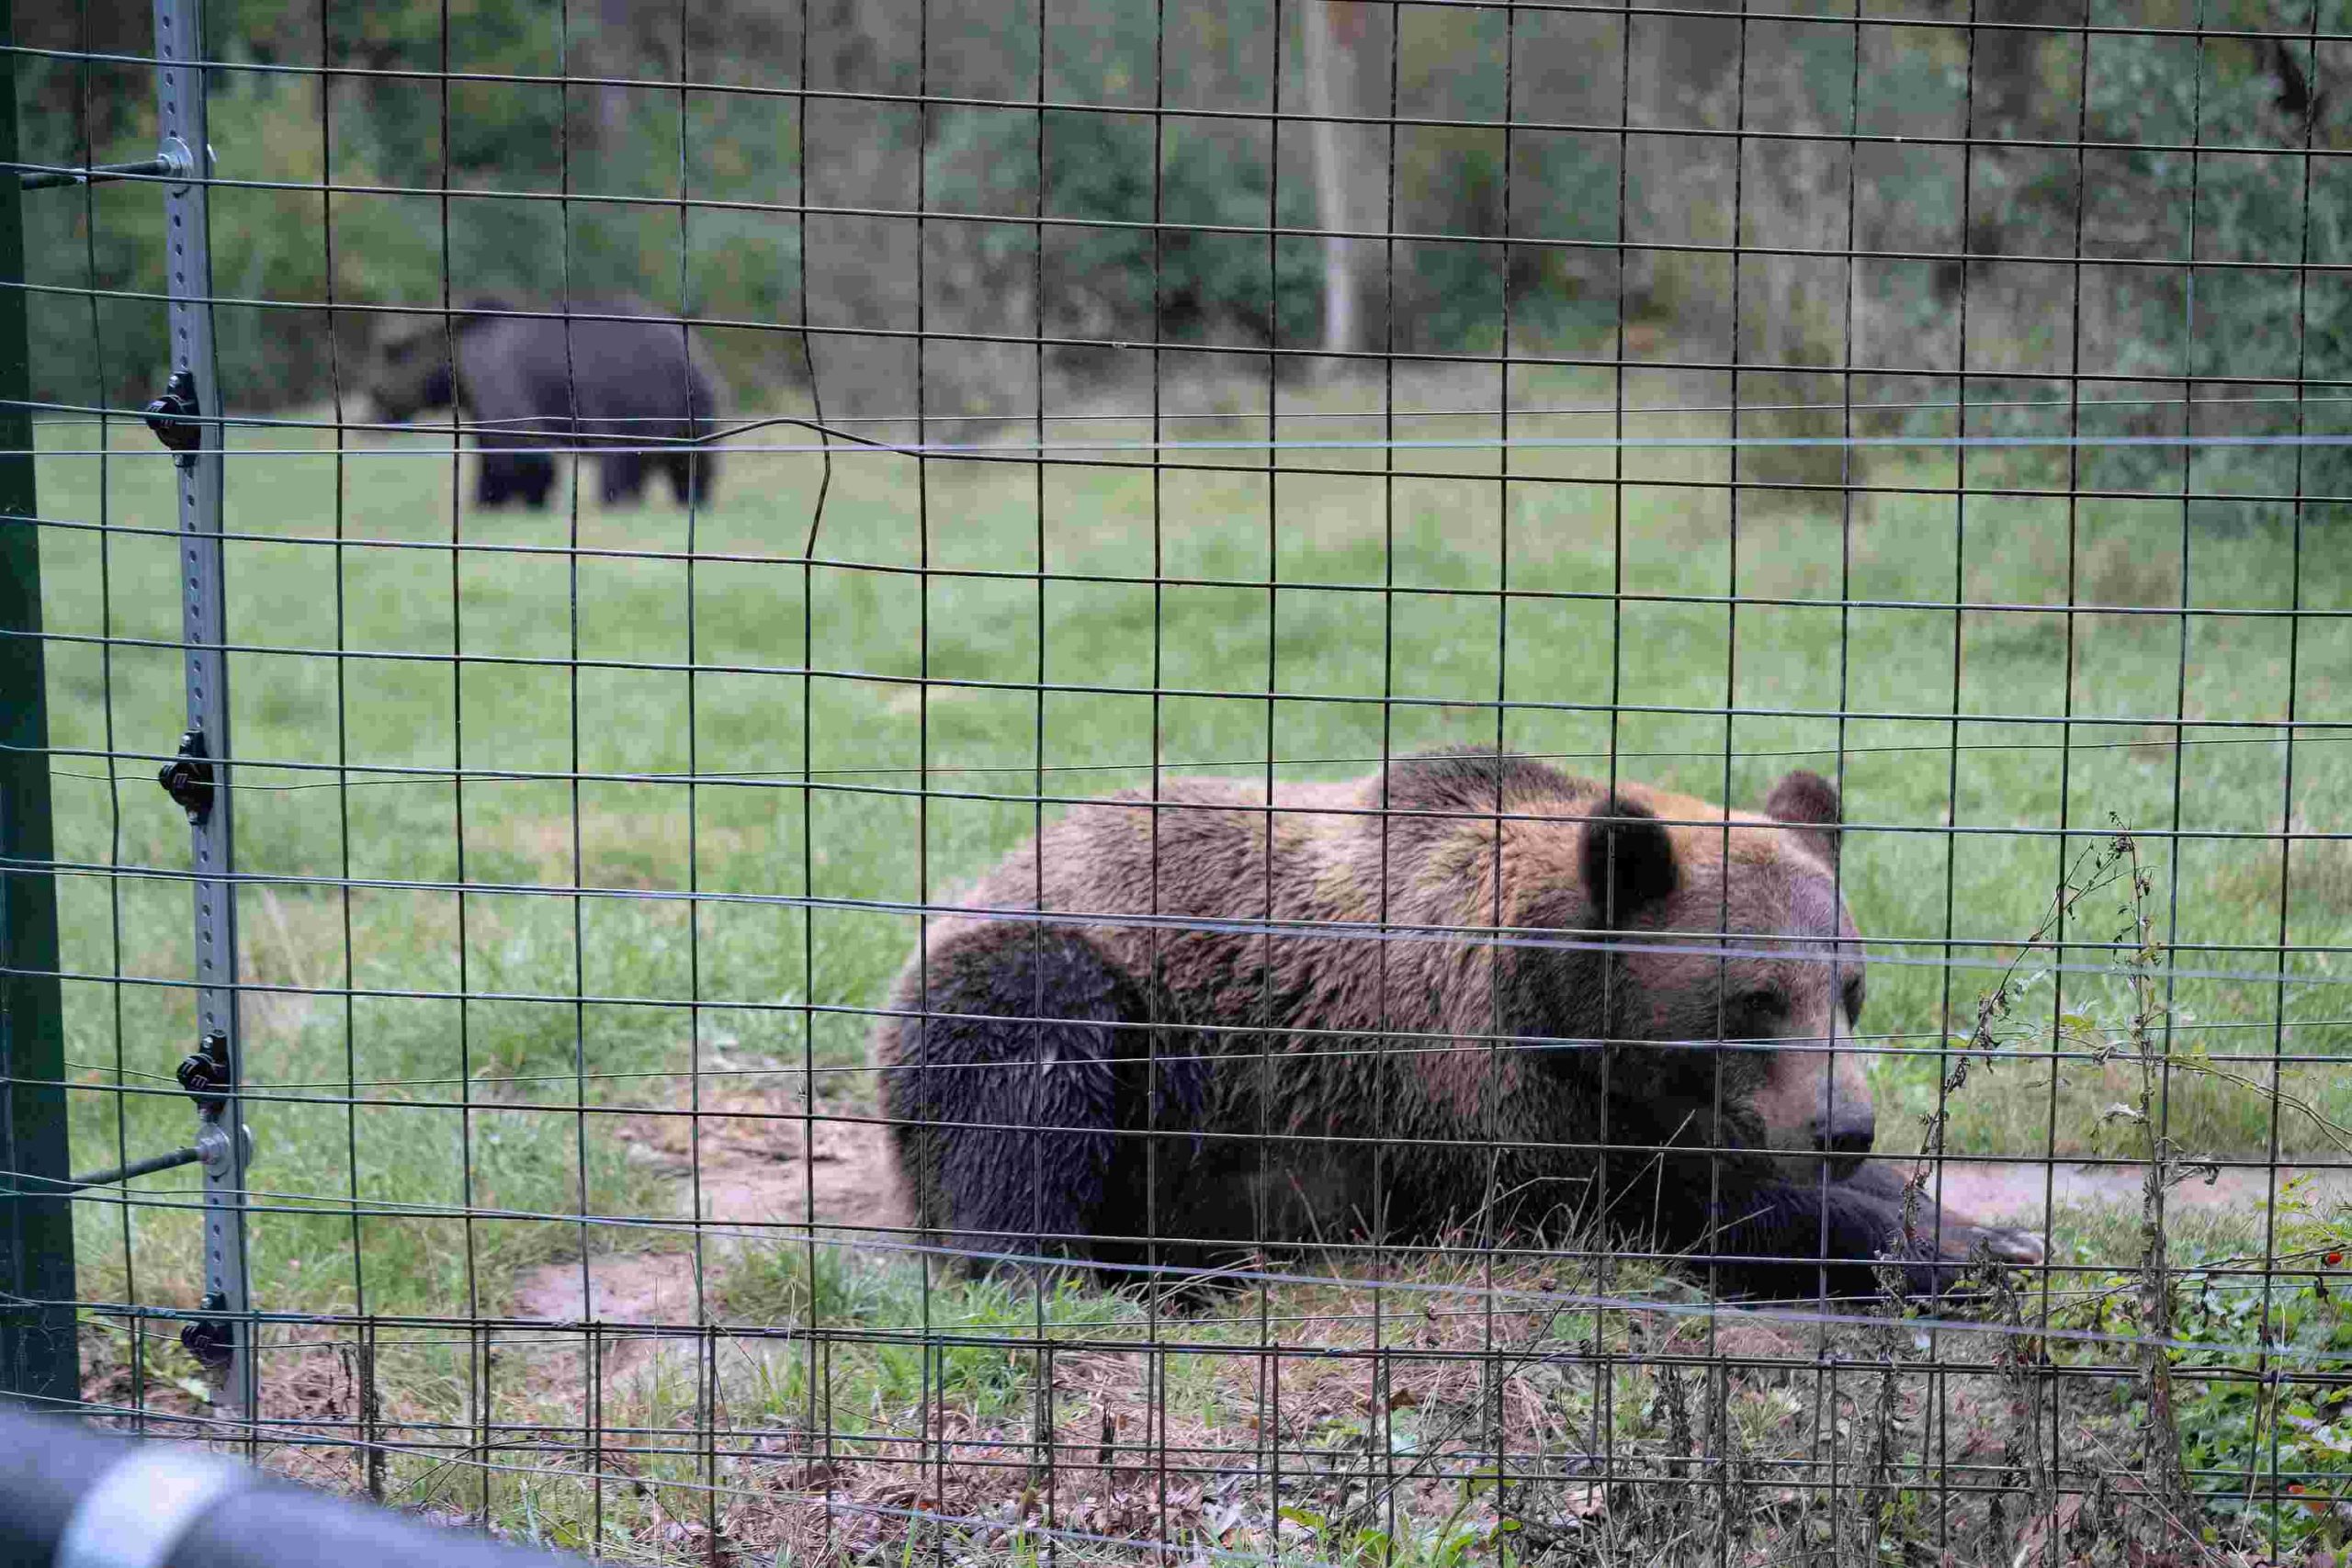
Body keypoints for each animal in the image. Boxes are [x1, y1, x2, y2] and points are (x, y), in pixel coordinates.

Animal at [359, 296, 715, 510]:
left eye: (374, 391)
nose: (366, 423)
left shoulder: (498, 380)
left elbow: (515, 451)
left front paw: (501, 499)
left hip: (625, 398)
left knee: (618, 460)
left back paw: (614, 501)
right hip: (695, 410)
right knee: (692, 467)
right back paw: (691, 499)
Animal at [875, 747, 2051, 1297]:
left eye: (1848, 989)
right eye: (1754, 1000)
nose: (1842, 1126)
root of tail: (983, 875)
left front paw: (1978, 1226)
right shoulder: (1475, 1090)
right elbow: (1682, 1210)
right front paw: (1959, 1250)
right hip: (1091, 999)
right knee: (1027, 1088)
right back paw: (1074, 1271)